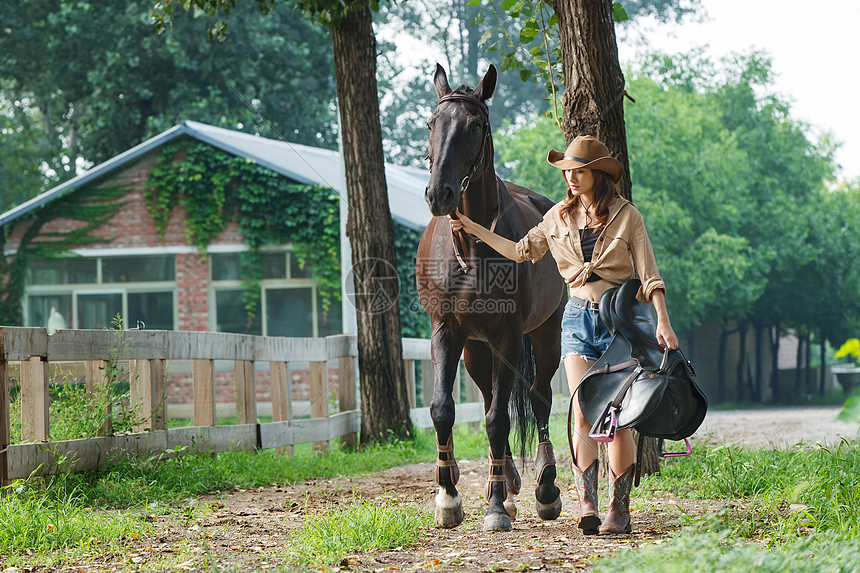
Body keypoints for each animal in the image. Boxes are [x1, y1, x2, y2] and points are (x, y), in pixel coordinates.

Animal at [414, 63, 564, 532]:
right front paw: (448, 496)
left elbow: (500, 419)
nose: (438, 194)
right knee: (484, 396)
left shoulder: (509, 336)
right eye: (432, 123)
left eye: (476, 126)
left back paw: (544, 487)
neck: (475, 244)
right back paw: (510, 483)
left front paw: (496, 506)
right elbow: (444, 409)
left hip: (545, 334)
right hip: (475, 348)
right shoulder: (447, 331)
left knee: (538, 396)